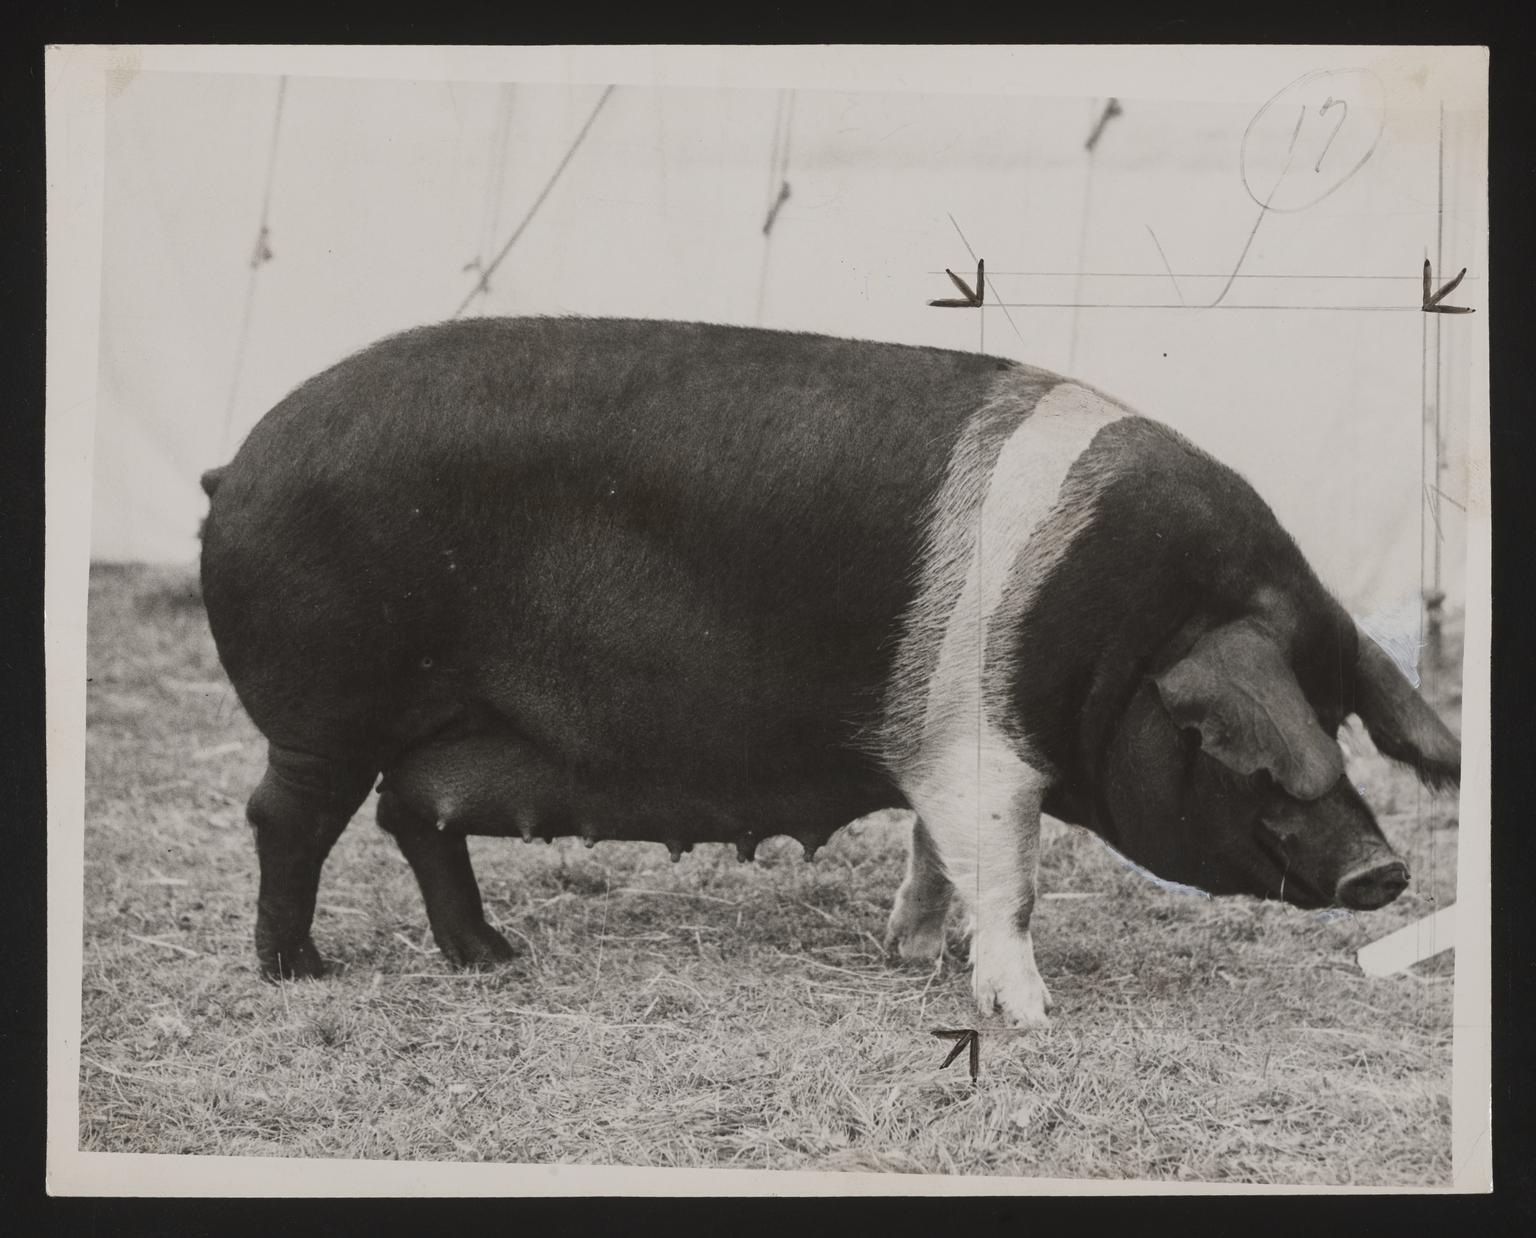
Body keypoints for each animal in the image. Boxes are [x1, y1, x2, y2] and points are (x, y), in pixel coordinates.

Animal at [199, 316, 1460, 1026]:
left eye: (1337, 713)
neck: (1122, 630)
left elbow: (937, 859)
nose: (1384, 871)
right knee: (289, 816)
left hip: (435, 734)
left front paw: (910, 954)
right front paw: (1034, 1017)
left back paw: (493, 958)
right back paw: (298, 973)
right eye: (1237, 744)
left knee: (415, 814)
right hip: (322, 704)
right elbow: (1010, 881)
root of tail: (235, 464)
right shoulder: (984, 756)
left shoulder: (942, 760)